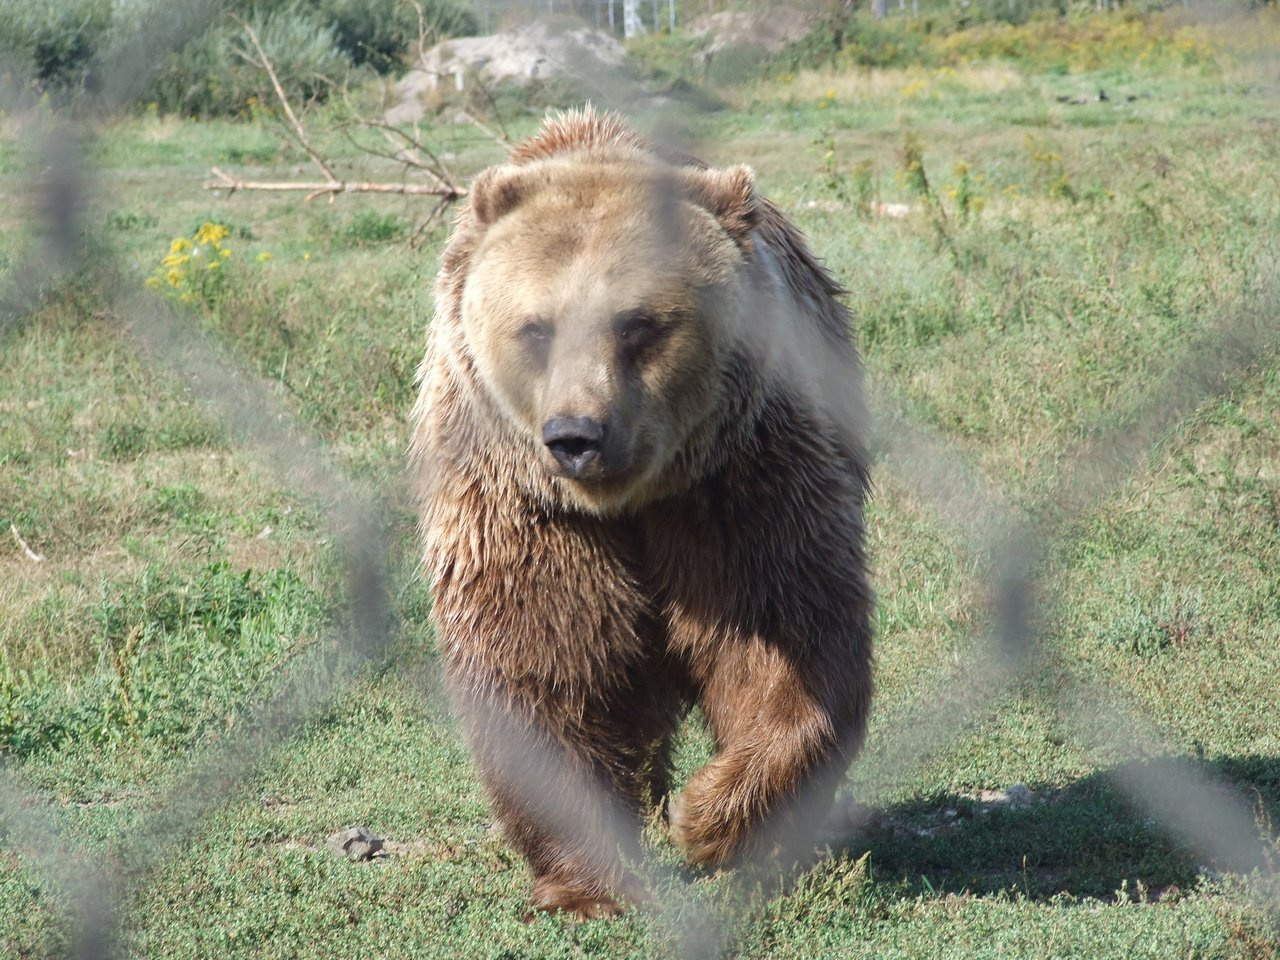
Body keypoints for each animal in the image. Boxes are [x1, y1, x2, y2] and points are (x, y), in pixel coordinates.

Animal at [409, 108, 870, 921]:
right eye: (536, 327)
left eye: (638, 325)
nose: (577, 435)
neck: (629, 502)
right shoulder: (528, 509)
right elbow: (546, 669)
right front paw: (590, 884)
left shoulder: (736, 479)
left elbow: (789, 635)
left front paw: (709, 816)